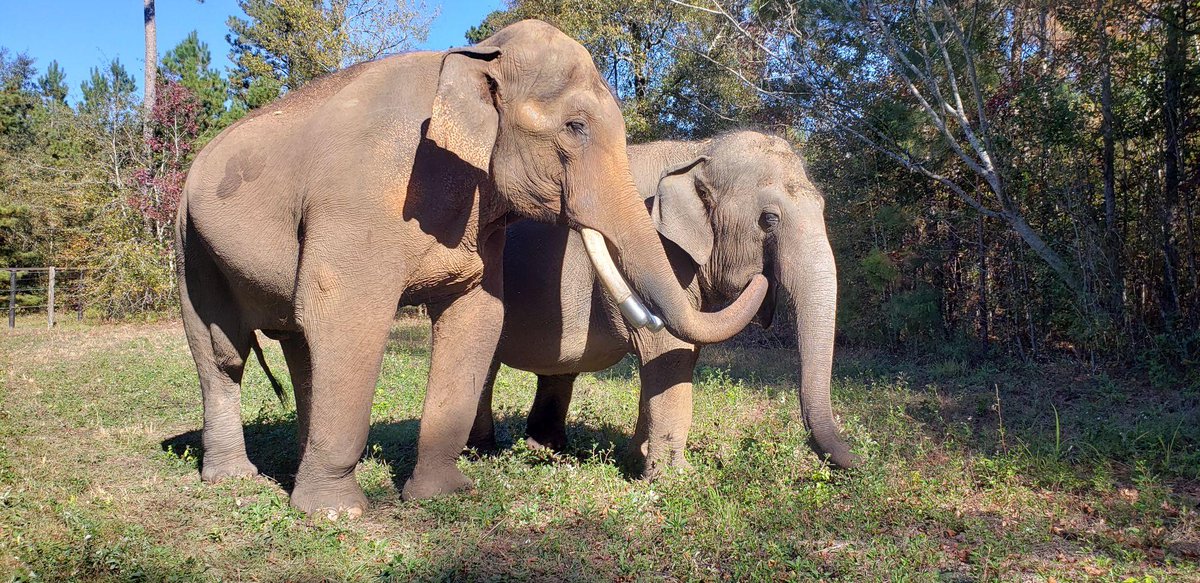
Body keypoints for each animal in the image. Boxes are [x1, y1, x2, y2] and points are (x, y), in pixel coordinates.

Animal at [175, 20, 768, 516]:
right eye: (575, 126)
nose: (761, 271)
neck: (472, 57)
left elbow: (478, 317)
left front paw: (444, 494)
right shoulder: (357, 200)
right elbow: (345, 317)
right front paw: (336, 513)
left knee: (297, 349)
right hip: (190, 244)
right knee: (222, 354)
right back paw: (236, 479)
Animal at [470, 130, 858, 477]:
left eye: (822, 206)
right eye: (769, 219)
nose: (861, 459)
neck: (697, 150)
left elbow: (679, 357)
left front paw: (635, 461)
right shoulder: (656, 253)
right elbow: (668, 351)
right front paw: (676, 477)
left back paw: (547, 452)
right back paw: (482, 453)